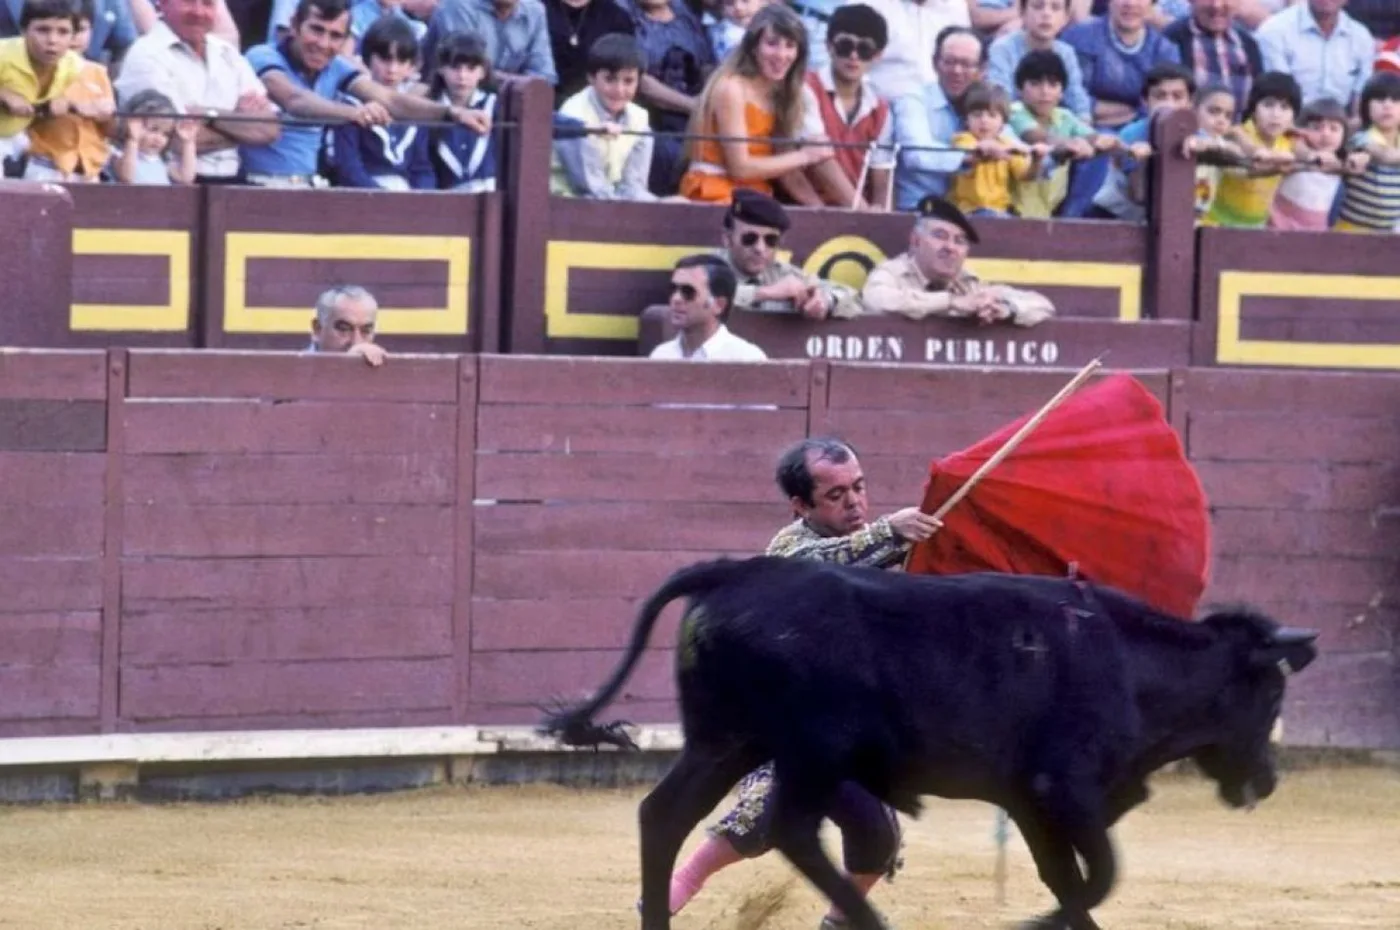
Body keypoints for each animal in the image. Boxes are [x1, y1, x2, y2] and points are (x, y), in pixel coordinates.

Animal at [540, 554, 1316, 924]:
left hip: (725, 741)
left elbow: (1070, 885)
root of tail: (741, 570)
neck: (1130, 661)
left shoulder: (1031, 804)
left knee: (665, 817)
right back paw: (869, 921)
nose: (1266, 780)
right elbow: (1097, 879)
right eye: (1272, 693)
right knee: (791, 831)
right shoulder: (1064, 792)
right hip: (810, 752)